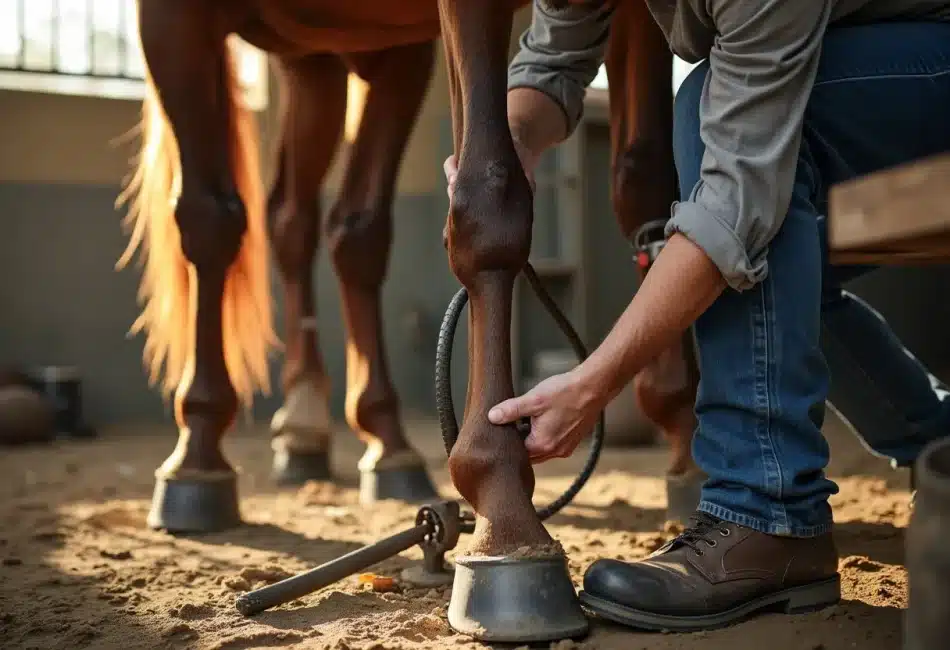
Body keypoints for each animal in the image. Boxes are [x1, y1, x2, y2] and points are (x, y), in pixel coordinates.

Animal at [122, 0, 696, 532]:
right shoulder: (171, 13)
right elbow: (208, 217)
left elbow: (645, 179)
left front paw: (686, 440)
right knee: (261, 218)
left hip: (339, 55)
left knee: (316, 222)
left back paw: (352, 439)